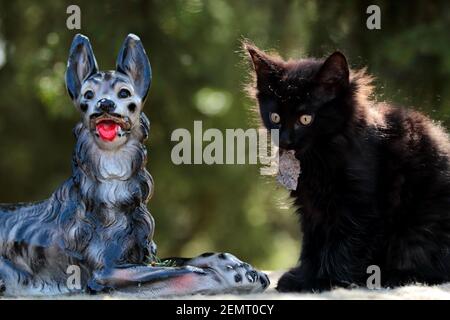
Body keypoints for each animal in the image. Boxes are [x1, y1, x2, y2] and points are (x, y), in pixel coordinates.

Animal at [246, 44, 450, 292]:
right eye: (275, 117)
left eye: (305, 119)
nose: (285, 140)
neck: (319, 155)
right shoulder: (310, 207)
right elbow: (312, 245)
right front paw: (305, 277)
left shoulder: (358, 205)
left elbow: (343, 244)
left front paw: (327, 281)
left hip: (419, 228)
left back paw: (393, 276)